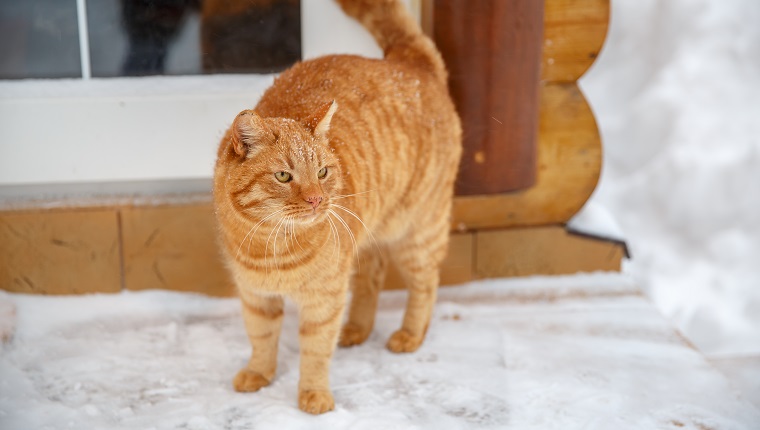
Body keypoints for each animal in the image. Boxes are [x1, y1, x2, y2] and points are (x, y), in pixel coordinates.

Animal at [214, 0, 464, 414]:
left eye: (323, 171)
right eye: (284, 176)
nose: (317, 198)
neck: (272, 245)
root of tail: (409, 63)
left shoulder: (324, 299)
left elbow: (315, 352)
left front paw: (314, 395)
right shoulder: (255, 295)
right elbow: (261, 338)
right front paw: (259, 373)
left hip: (417, 232)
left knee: (426, 283)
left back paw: (410, 334)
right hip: (370, 234)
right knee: (373, 276)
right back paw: (358, 329)